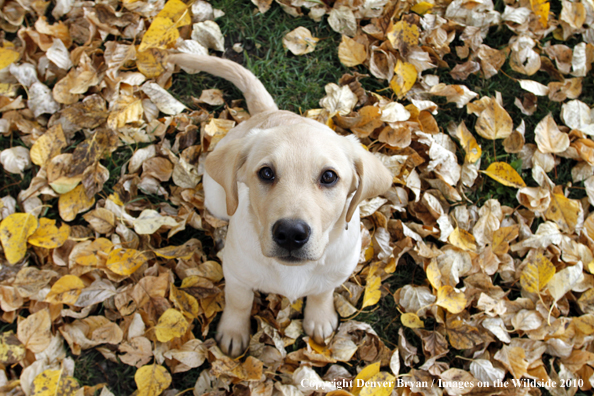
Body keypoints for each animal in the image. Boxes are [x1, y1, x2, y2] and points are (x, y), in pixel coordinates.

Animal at [169, 51, 390, 356]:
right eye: (266, 173)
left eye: (329, 177)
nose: (291, 233)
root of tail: (268, 113)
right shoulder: (236, 276)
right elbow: (239, 301)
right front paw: (233, 332)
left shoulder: (338, 269)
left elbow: (323, 291)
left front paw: (320, 318)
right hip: (217, 199)